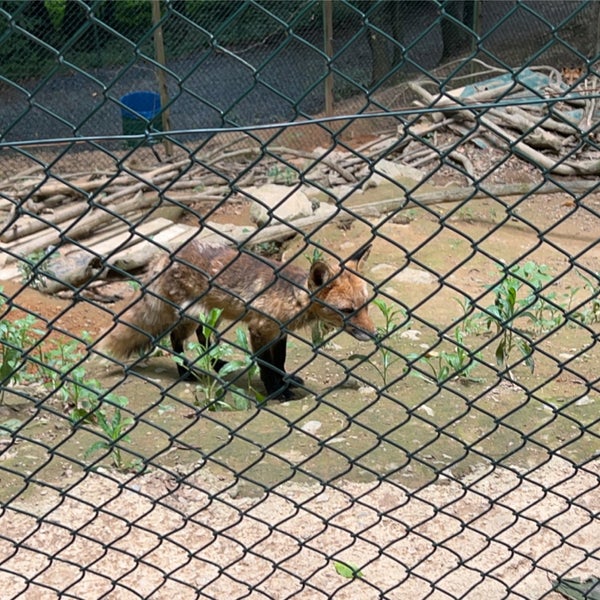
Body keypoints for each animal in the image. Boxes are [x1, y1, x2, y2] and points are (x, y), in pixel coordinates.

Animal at [101, 239, 378, 398]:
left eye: (366, 305)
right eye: (347, 310)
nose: (375, 334)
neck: (292, 297)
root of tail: (162, 257)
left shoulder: (279, 332)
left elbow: (279, 362)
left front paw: (286, 382)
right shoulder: (259, 330)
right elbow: (266, 366)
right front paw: (275, 391)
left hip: (212, 316)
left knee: (204, 340)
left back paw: (218, 365)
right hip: (192, 316)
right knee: (176, 340)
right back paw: (185, 372)